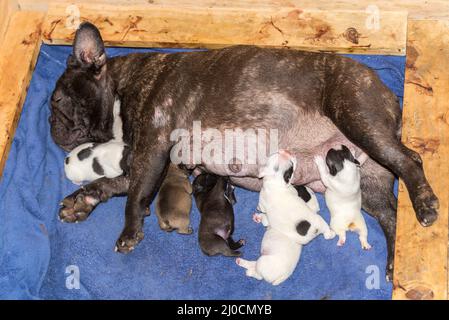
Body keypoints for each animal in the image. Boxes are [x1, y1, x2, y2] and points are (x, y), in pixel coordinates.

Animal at [236, 151, 334, 286]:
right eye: (275, 153)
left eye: (292, 165)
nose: (286, 151)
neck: (276, 183)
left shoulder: (264, 204)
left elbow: (263, 214)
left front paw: (258, 216)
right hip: (321, 222)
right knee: (327, 234)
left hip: (263, 263)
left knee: (258, 274)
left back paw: (248, 270)